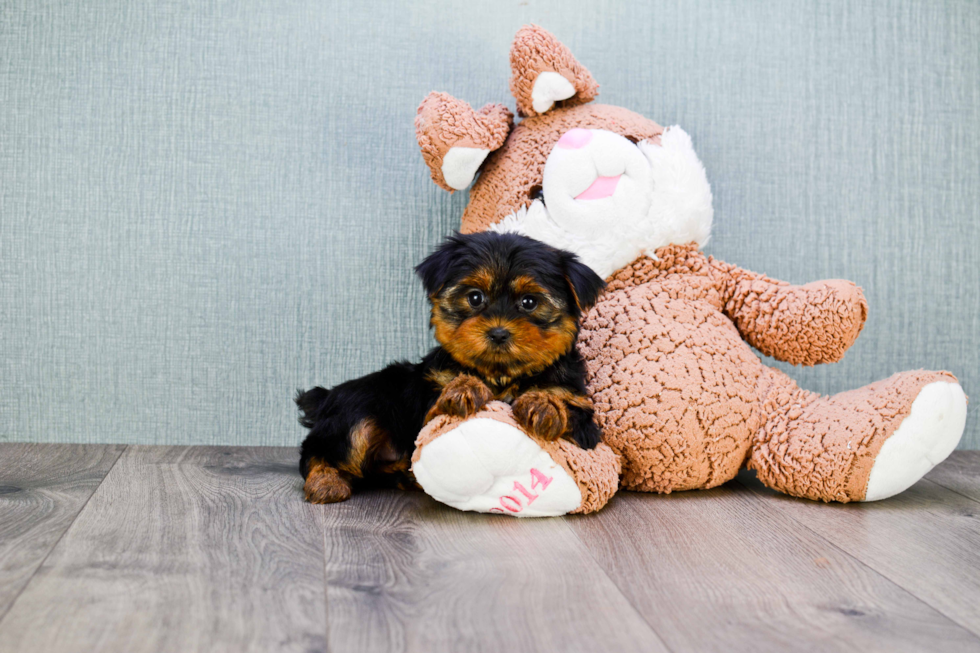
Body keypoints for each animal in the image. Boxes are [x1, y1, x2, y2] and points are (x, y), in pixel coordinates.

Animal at [294, 232, 608, 502]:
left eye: (529, 302)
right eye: (475, 297)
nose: (498, 332)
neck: (501, 375)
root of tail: (326, 397)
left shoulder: (583, 419)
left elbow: (568, 409)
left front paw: (543, 403)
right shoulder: (428, 404)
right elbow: (436, 409)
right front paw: (464, 387)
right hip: (356, 412)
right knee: (319, 449)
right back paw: (326, 481)